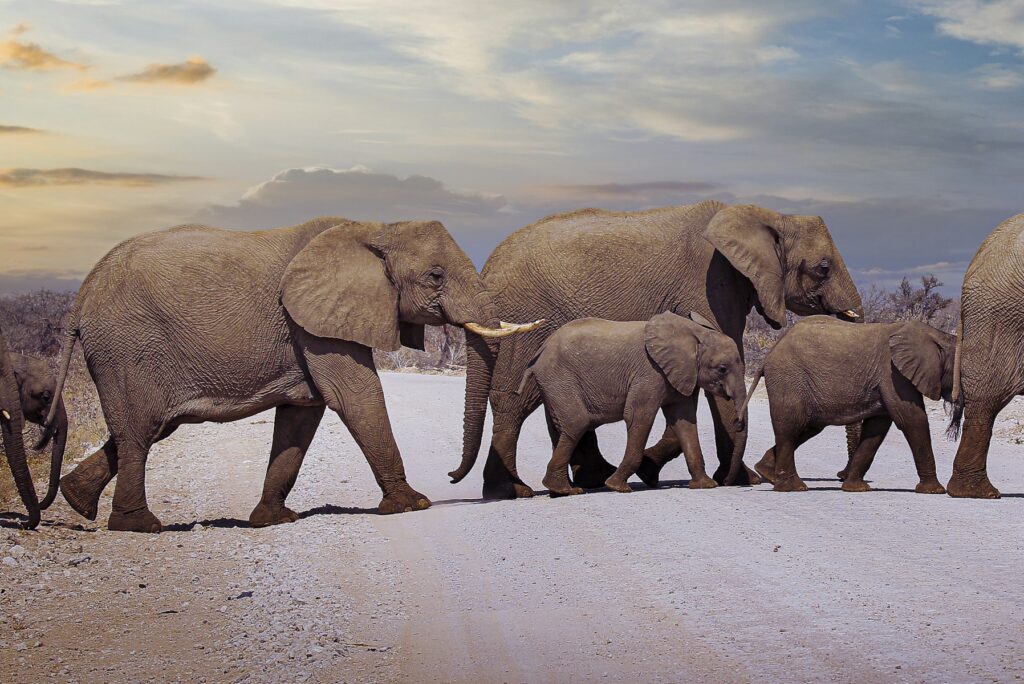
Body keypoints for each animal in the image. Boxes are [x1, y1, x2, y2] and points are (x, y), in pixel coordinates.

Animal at [47, 217, 539, 533]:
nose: (453, 478)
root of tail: (82, 295)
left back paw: (77, 502)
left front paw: (273, 520)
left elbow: (303, 413)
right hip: (127, 349)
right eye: (435, 276)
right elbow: (355, 395)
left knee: (145, 430)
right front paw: (412, 505)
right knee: (140, 430)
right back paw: (140, 526)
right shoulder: (314, 324)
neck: (376, 228)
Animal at [518, 312, 747, 495]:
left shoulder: (679, 375)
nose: (727, 482)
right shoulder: (650, 374)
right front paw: (617, 487)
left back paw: (560, 490)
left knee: (560, 429)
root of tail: (539, 352)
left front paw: (705, 486)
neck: (693, 332)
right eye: (722, 369)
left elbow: (685, 423)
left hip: (553, 383)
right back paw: (566, 490)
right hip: (558, 378)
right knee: (577, 423)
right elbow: (639, 418)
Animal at [743, 316, 953, 494]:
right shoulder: (893, 374)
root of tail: (770, 352)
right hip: (788, 378)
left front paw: (856, 488)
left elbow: (876, 428)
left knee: (807, 427)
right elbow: (912, 419)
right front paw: (935, 491)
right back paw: (794, 488)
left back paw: (766, 472)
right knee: (790, 427)